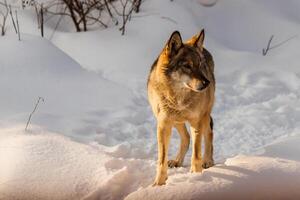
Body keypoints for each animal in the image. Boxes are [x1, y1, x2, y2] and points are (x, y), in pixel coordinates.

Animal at [146, 29, 214, 186]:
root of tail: (204, 48)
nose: (206, 83)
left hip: (204, 116)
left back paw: (208, 161)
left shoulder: (196, 122)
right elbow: (162, 160)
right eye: (187, 66)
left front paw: (196, 176)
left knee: (209, 133)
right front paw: (158, 184)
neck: (179, 99)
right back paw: (177, 161)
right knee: (186, 137)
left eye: (199, 64)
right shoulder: (163, 125)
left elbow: (196, 154)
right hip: (176, 121)